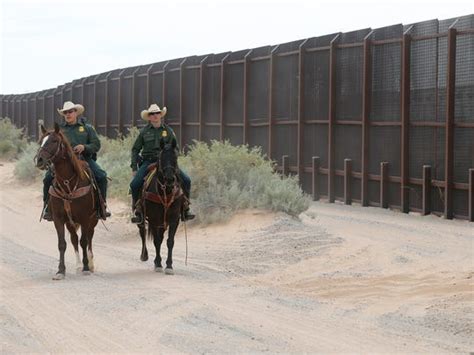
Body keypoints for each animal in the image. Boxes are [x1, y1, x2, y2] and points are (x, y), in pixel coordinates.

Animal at [36, 124, 98, 280]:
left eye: (54, 141)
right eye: (41, 141)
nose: (39, 160)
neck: (68, 183)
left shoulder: (84, 218)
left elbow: (84, 241)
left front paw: (86, 267)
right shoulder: (59, 218)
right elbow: (62, 244)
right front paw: (60, 271)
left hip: (93, 220)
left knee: (89, 237)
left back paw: (90, 264)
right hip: (70, 222)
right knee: (74, 238)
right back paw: (78, 266)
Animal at [138, 137, 184, 276]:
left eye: (175, 157)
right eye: (161, 157)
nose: (169, 179)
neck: (166, 192)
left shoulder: (174, 219)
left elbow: (170, 241)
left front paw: (169, 265)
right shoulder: (154, 219)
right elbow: (157, 241)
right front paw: (158, 263)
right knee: (143, 232)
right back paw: (145, 255)